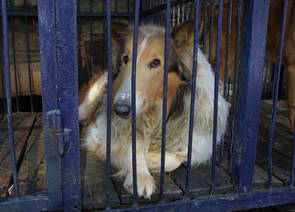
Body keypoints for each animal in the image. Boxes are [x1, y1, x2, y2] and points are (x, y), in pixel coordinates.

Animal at [78, 22, 229, 200]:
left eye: (156, 63)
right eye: (126, 59)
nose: (120, 109)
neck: (158, 111)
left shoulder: (200, 142)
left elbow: (175, 159)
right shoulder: (99, 130)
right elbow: (131, 145)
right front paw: (139, 174)